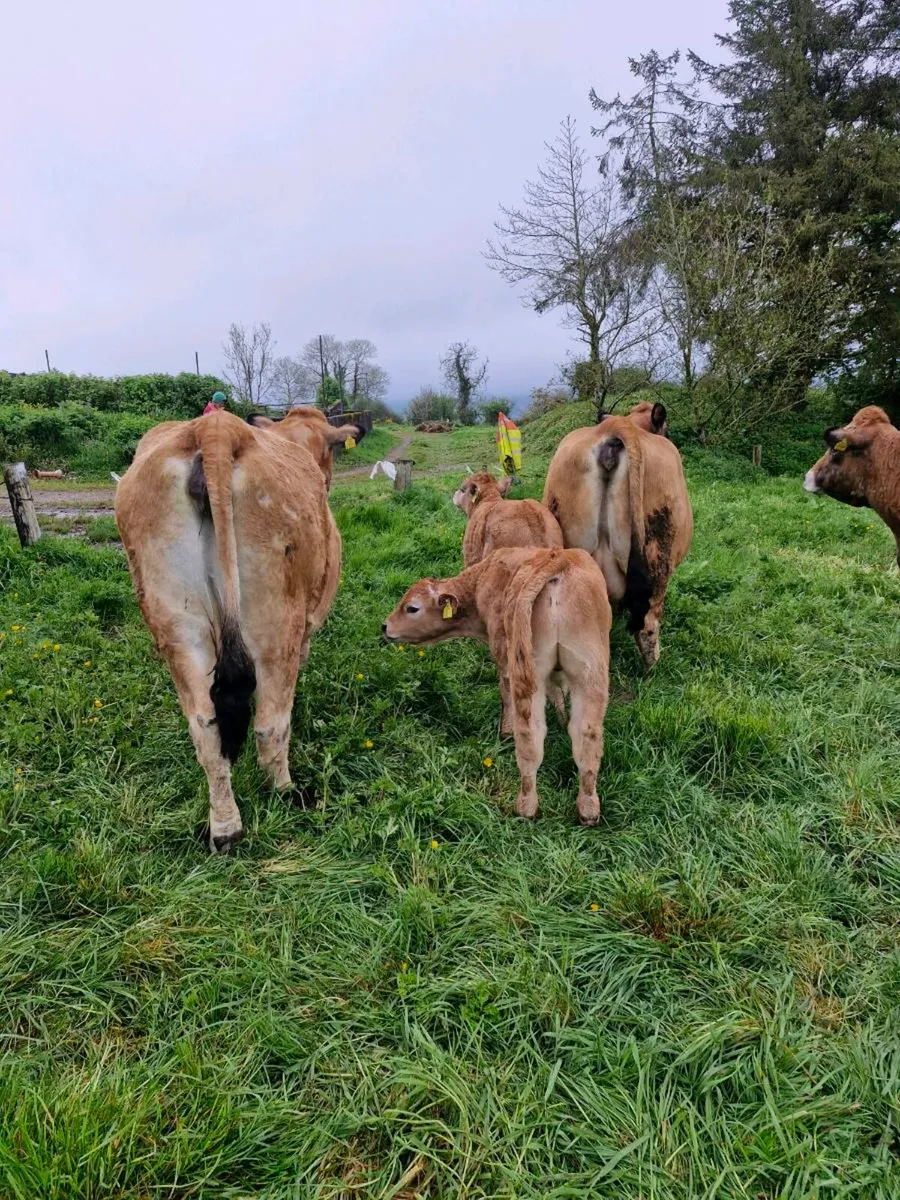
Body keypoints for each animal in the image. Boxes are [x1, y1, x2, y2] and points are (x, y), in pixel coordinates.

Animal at [115, 408, 355, 852]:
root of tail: (213, 430)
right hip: (275, 622)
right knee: (269, 725)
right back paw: (284, 793)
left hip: (177, 623)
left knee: (205, 729)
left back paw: (225, 829)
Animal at [384, 547, 611, 825]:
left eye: (412, 608)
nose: (384, 626)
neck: (484, 579)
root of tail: (559, 557)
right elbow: (557, 693)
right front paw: (560, 717)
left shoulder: (503, 656)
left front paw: (505, 732)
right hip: (590, 673)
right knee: (587, 734)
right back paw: (588, 808)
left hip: (526, 670)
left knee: (529, 735)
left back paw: (525, 807)